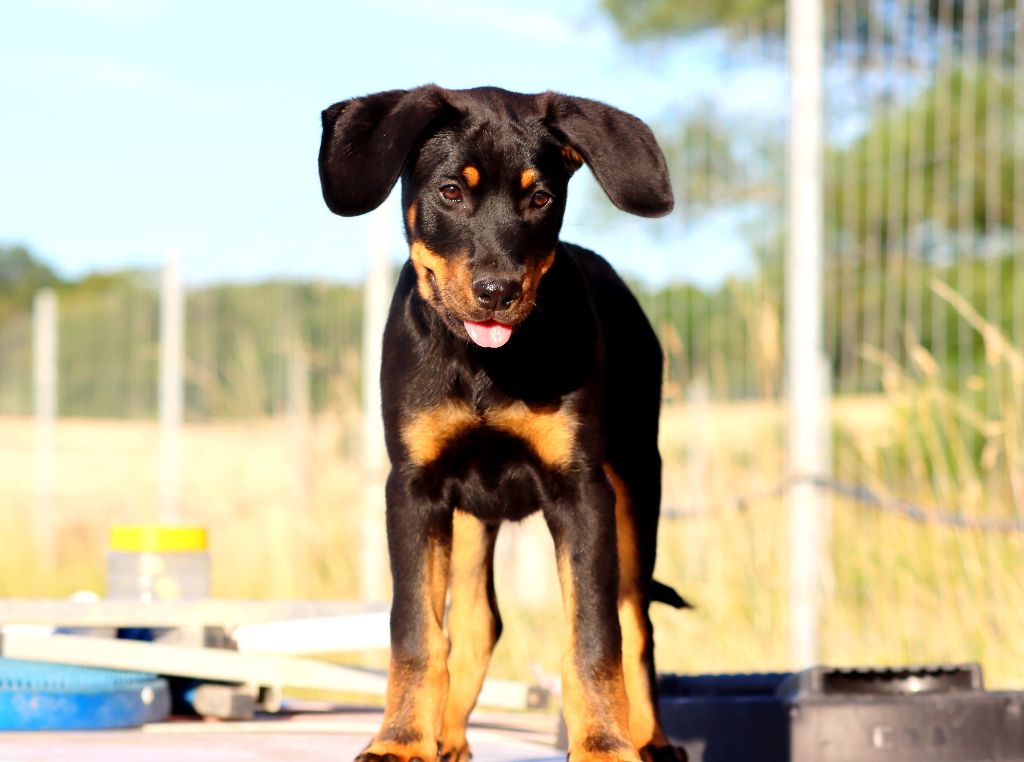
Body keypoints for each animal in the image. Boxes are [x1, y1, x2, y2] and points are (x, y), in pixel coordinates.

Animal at [319, 86, 688, 762]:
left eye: (540, 198)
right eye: (450, 192)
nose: (497, 291)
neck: (486, 364)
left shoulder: (582, 490)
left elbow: (595, 637)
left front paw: (604, 744)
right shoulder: (413, 487)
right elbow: (416, 632)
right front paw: (401, 740)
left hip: (637, 478)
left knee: (635, 618)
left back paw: (651, 739)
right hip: (469, 516)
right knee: (475, 622)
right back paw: (445, 736)